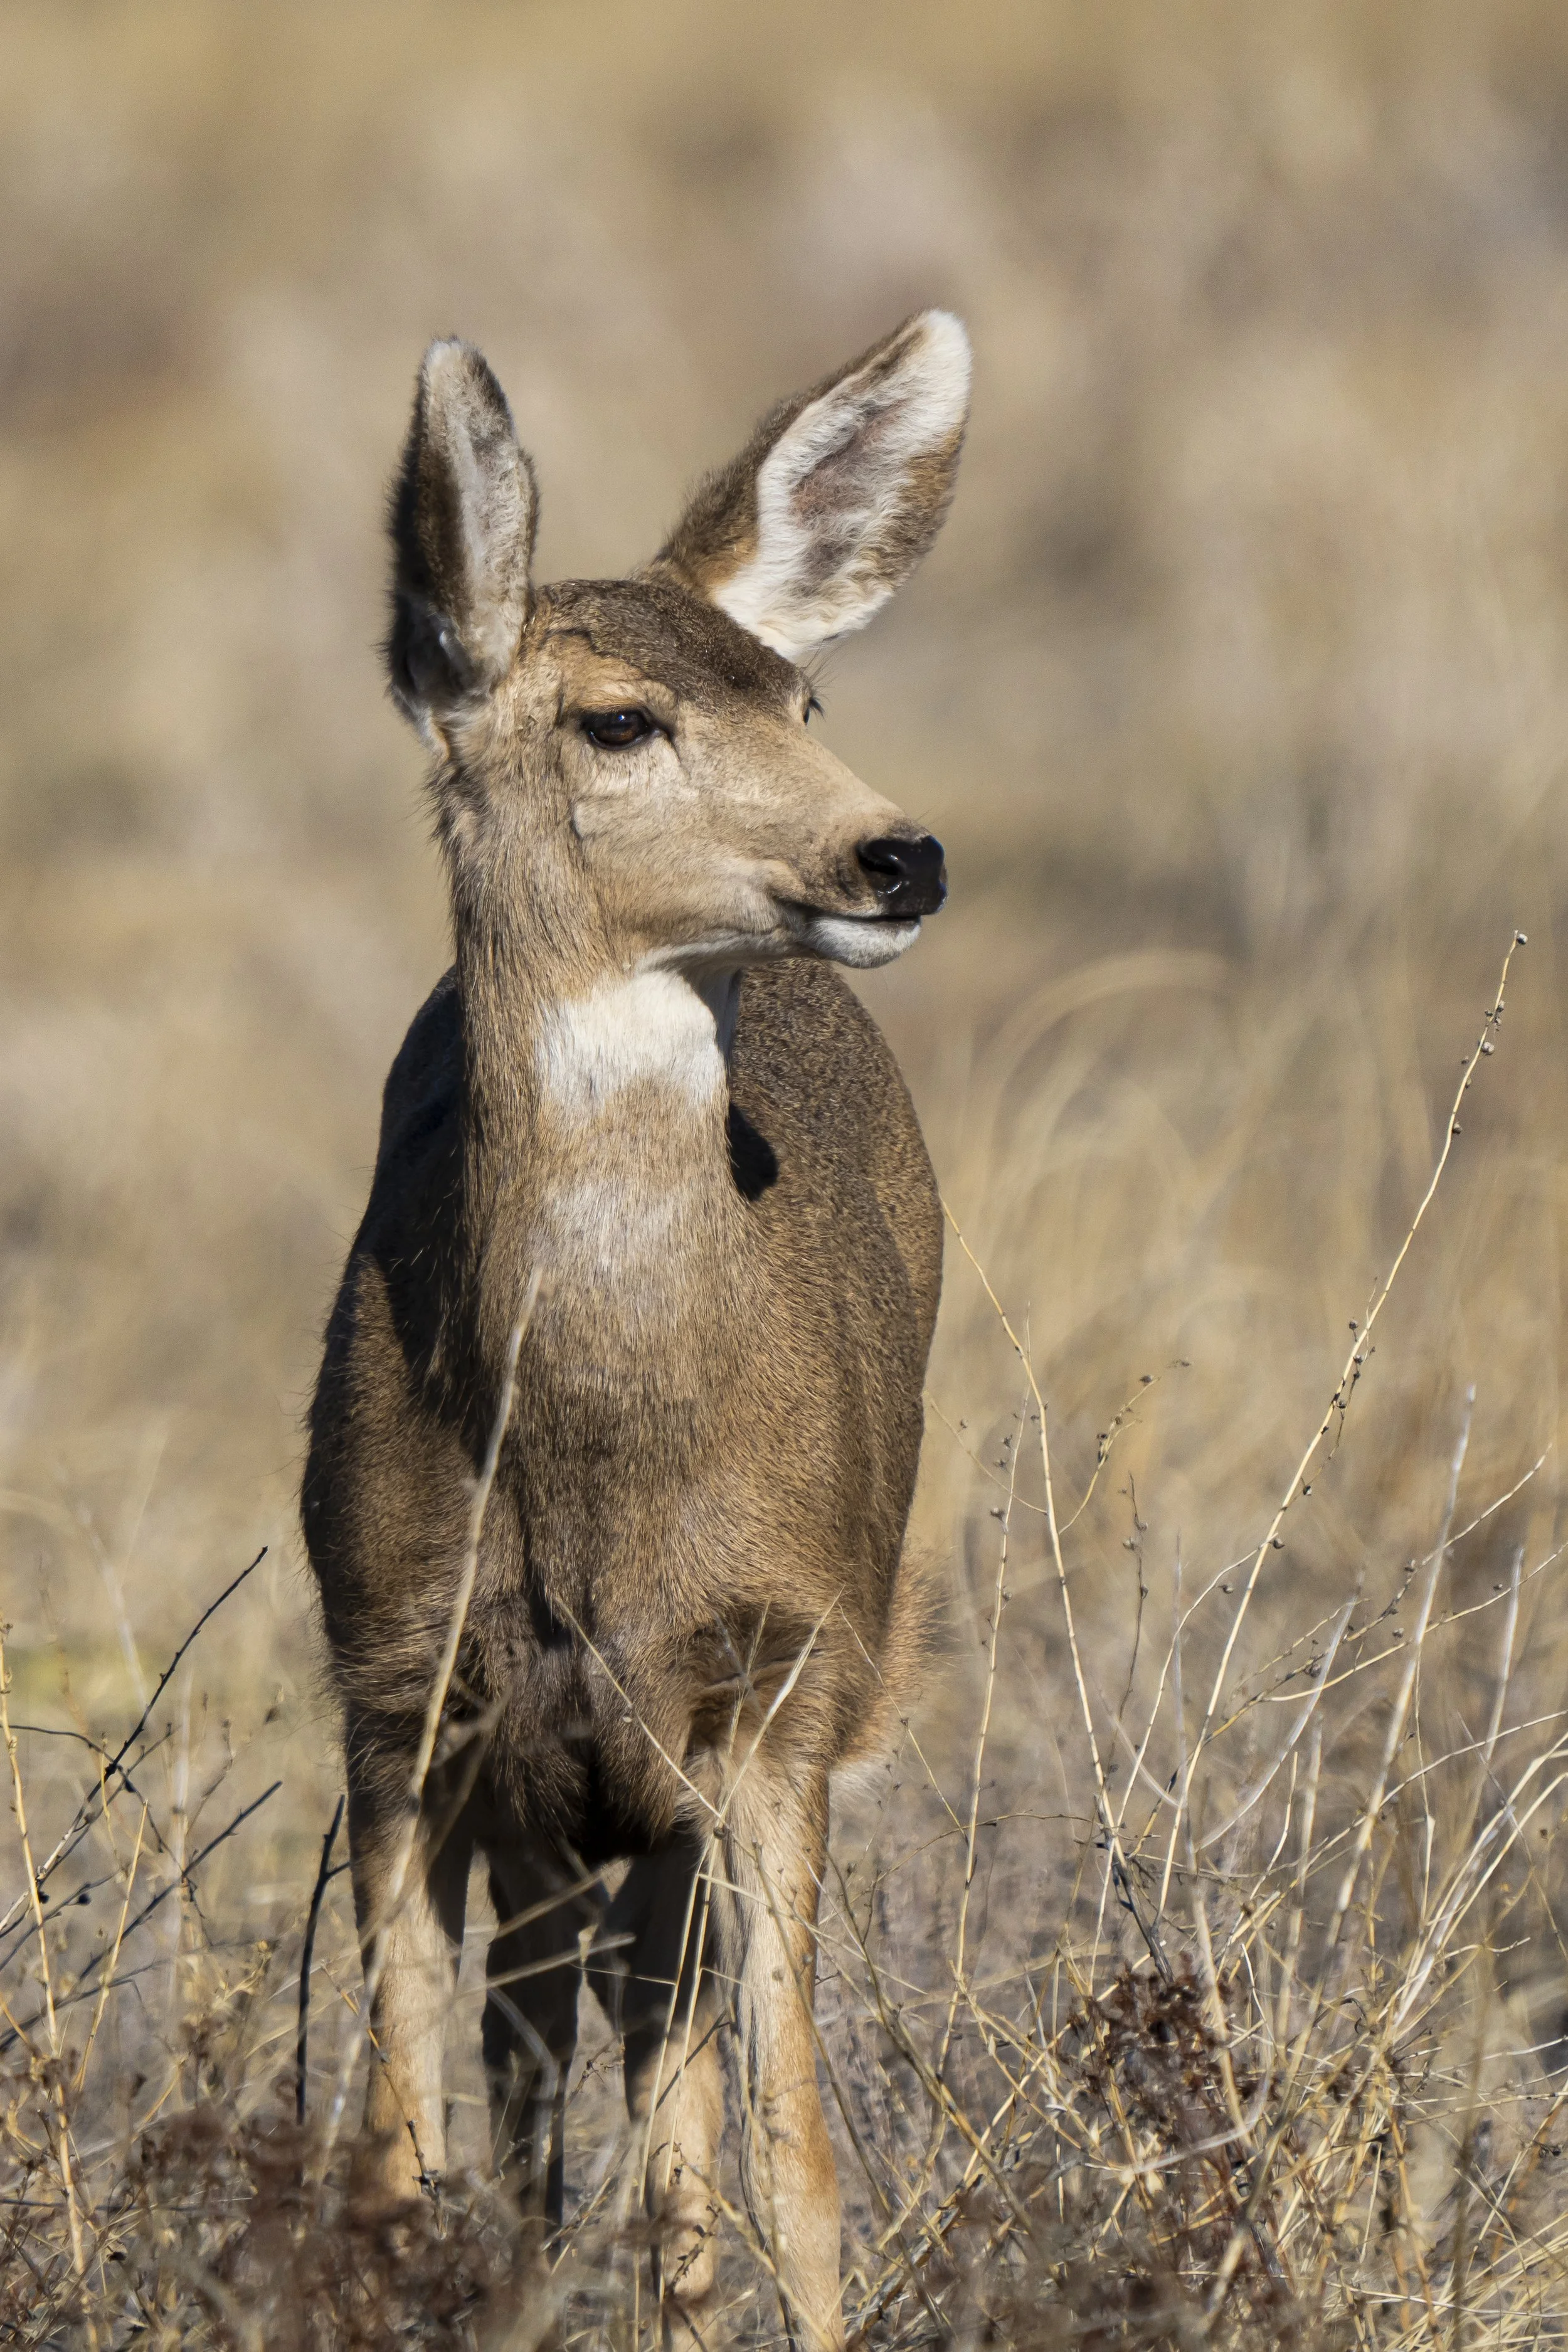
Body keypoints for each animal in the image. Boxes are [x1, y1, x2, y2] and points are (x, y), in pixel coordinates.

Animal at [302, 308, 970, 2350]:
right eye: (616, 720)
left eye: (802, 698)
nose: (899, 854)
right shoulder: (399, 1683)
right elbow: (393, 2161)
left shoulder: (779, 1681)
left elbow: (792, 2159)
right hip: (552, 1797)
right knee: (542, 2080)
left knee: (661, 2106)